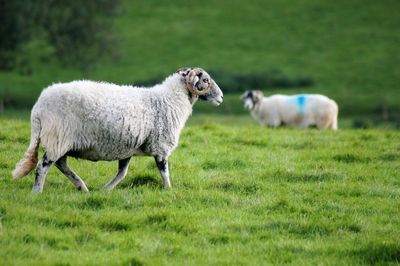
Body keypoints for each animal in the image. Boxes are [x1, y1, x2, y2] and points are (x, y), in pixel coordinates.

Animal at [12, 66, 223, 191]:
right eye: (206, 80)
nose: (221, 97)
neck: (170, 99)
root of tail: (38, 108)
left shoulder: (127, 147)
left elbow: (122, 173)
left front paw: (105, 191)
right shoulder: (161, 146)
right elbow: (164, 171)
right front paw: (169, 190)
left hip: (61, 141)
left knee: (60, 164)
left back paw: (82, 187)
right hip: (57, 136)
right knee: (43, 166)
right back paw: (37, 192)